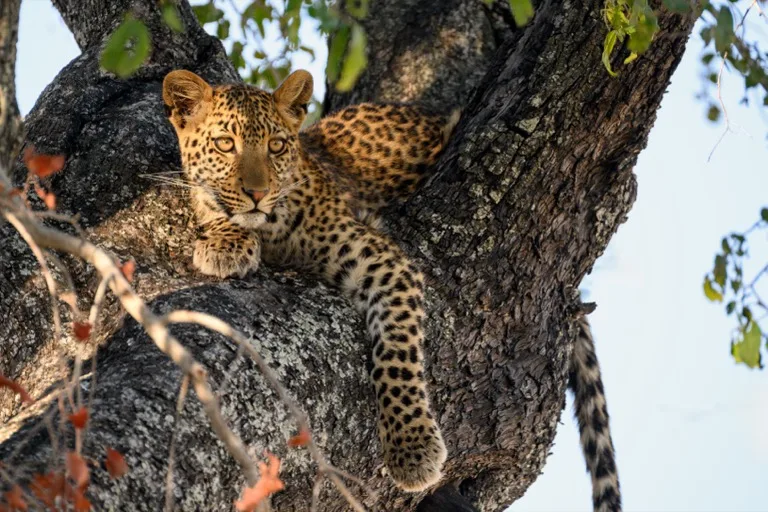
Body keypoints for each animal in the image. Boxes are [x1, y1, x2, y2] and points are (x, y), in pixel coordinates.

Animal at [162, 69, 622, 509]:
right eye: (225, 144)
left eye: (276, 146)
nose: (257, 193)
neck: (273, 230)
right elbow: (213, 210)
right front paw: (225, 242)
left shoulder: (381, 258)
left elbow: (397, 357)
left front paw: (413, 451)